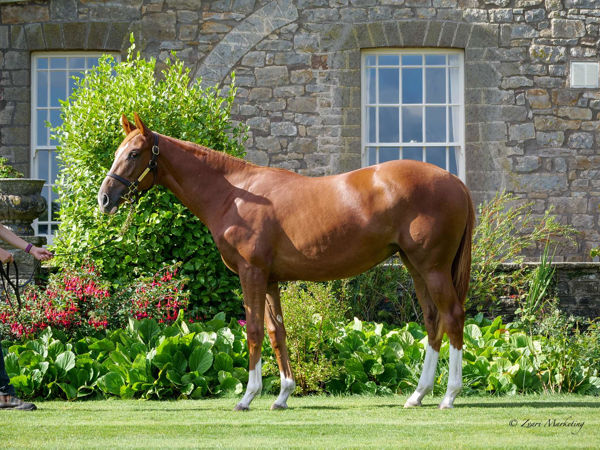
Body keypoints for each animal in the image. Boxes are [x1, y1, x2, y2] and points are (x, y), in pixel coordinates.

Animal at [98, 113, 475, 411]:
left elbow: (252, 330)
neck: (235, 194)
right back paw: (418, 395)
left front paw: (247, 397)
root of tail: (456, 182)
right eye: (117, 152)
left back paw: (449, 396)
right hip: (415, 266)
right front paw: (282, 396)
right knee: (432, 321)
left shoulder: (251, 273)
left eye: (134, 153)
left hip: (433, 268)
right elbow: (277, 332)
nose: (104, 199)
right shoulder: (270, 279)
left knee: (453, 317)